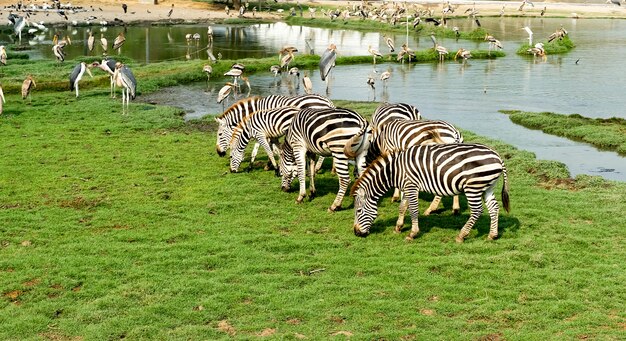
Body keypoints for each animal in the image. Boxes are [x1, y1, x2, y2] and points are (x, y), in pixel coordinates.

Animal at [352, 143, 508, 242]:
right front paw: (398, 227)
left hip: (473, 187)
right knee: (494, 208)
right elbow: (402, 207)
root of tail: (498, 156)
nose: (356, 233)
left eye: (358, 211)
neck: (394, 171)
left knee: (477, 211)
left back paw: (461, 235)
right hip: (487, 187)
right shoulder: (407, 186)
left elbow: (413, 210)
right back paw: (492, 235)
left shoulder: (411, 186)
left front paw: (413, 233)